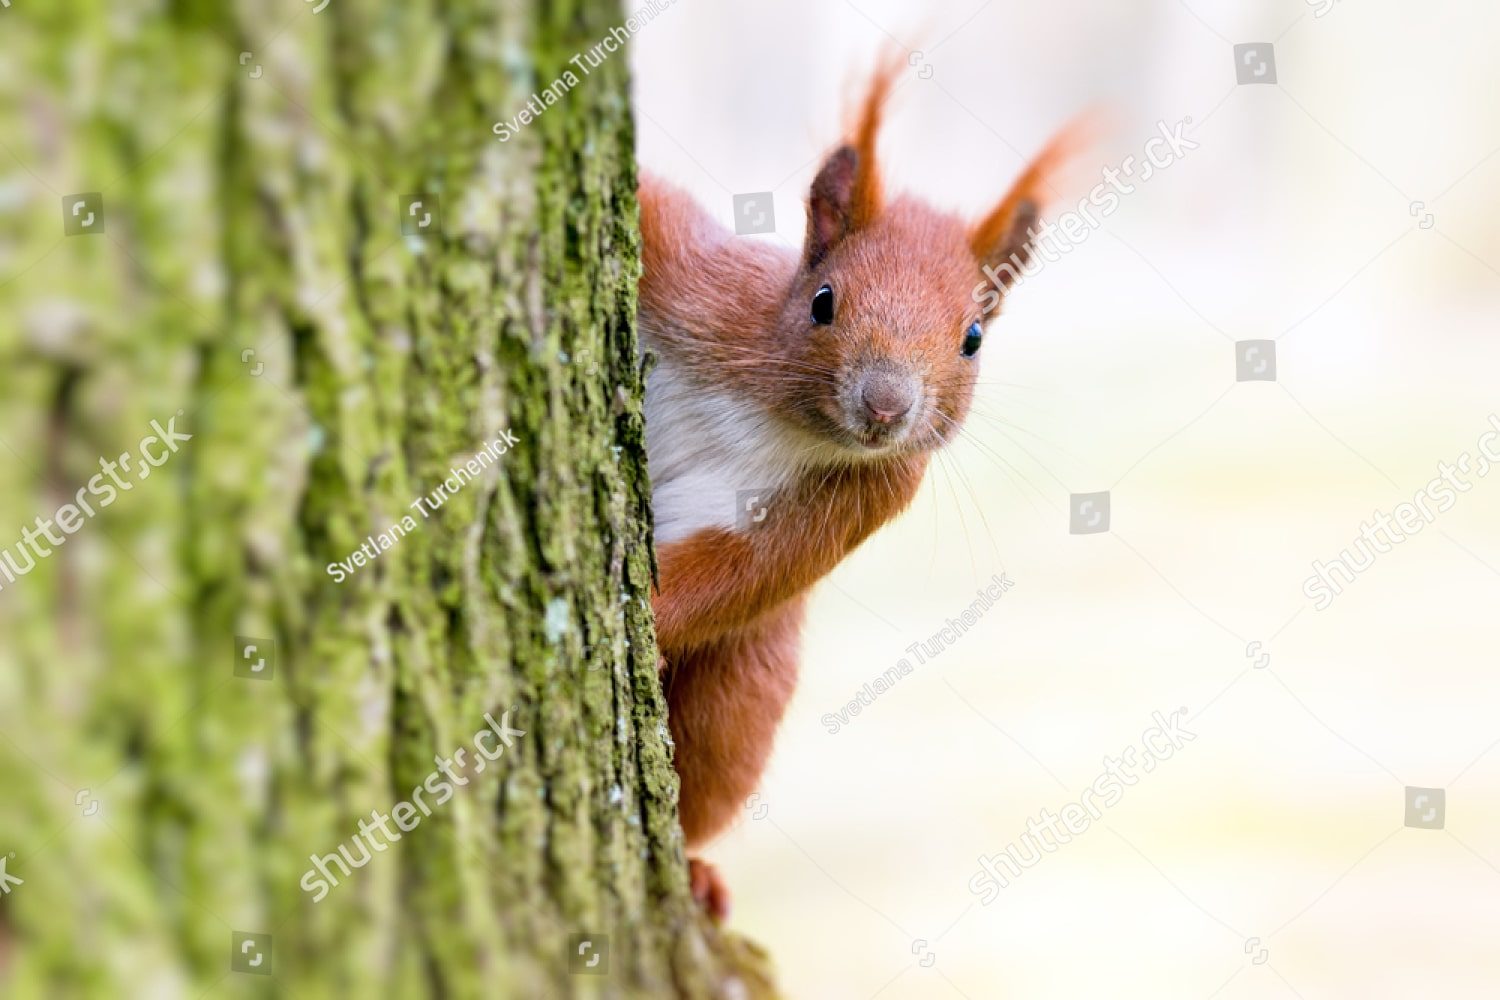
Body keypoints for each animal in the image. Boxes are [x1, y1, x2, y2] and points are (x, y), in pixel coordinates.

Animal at [638, 60, 1077, 920]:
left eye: (973, 338)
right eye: (823, 301)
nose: (886, 406)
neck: (780, 413)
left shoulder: (863, 497)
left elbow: (743, 573)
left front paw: (641, 606)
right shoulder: (703, 283)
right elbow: (651, 209)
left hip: (741, 694)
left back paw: (697, 869)